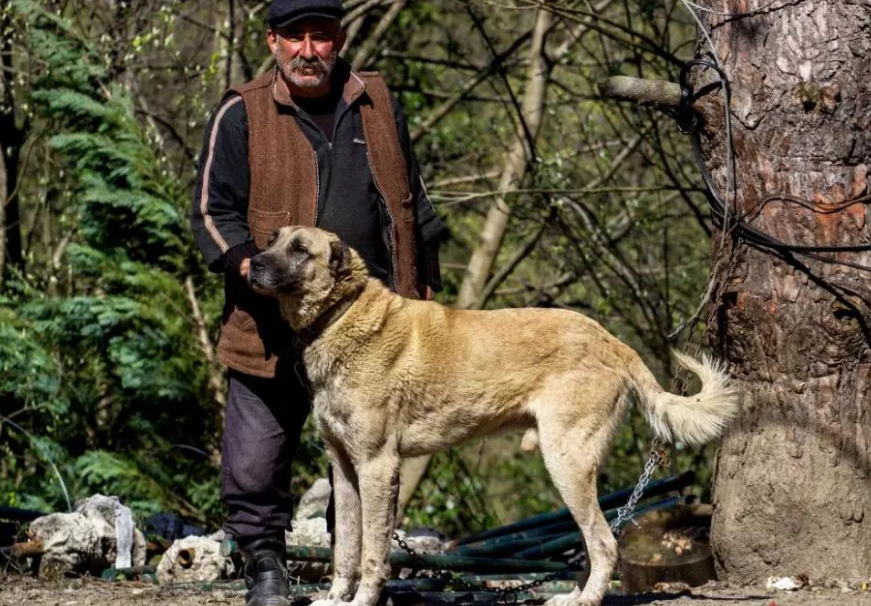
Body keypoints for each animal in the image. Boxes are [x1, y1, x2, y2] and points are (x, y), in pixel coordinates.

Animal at [249, 227, 740, 606]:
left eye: (299, 249)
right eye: (272, 239)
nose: (252, 262)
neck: (341, 315)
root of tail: (614, 342)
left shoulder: (377, 466)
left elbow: (372, 551)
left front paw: (364, 600)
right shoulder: (344, 469)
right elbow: (345, 550)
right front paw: (337, 599)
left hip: (566, 461)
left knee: (604, 544)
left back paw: (584, 599)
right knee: (599, 543)